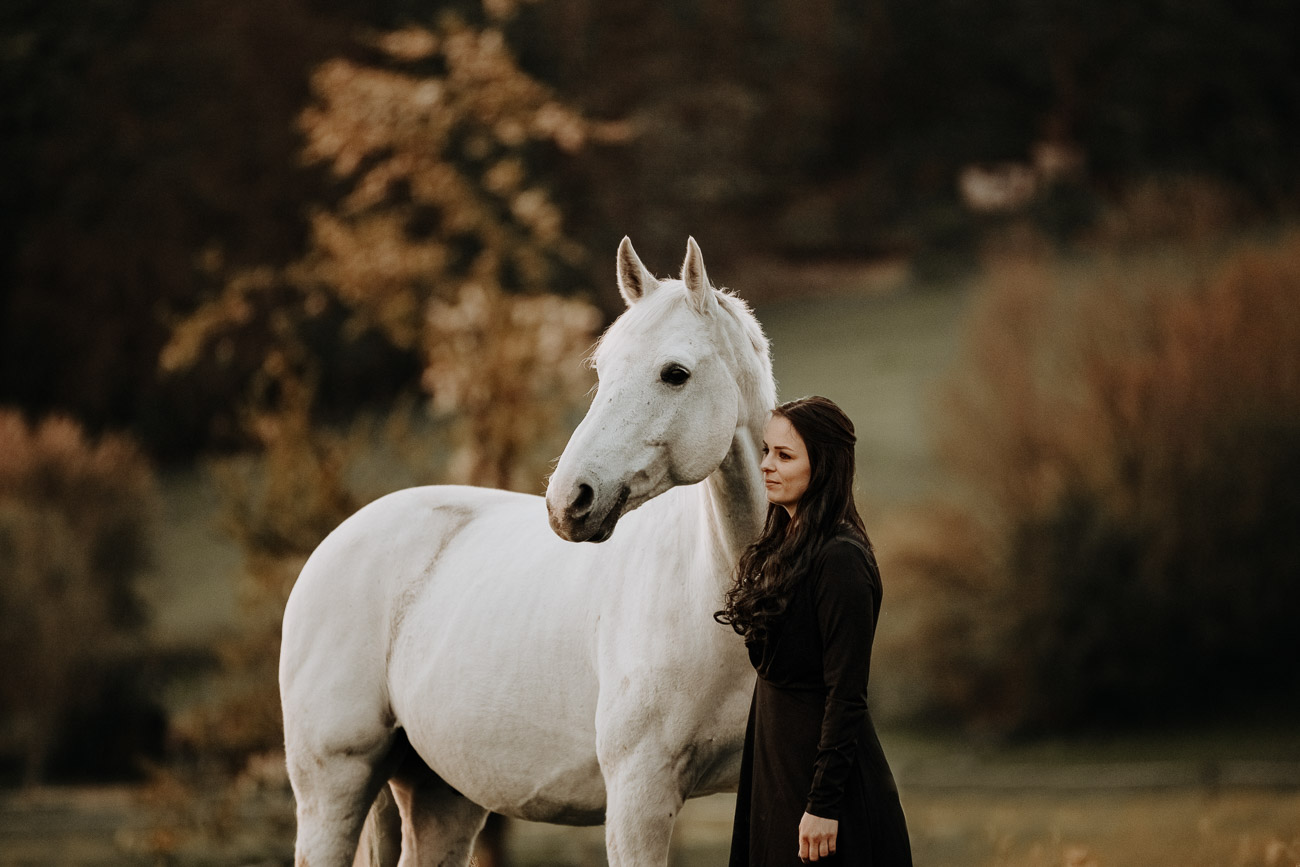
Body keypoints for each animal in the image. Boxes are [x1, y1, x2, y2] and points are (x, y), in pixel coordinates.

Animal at [279, 239, 774, 867]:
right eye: (602, 369)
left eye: (675, 374)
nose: (569, 501)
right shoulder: (638, 797)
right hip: (333, 789)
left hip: (440, 796)